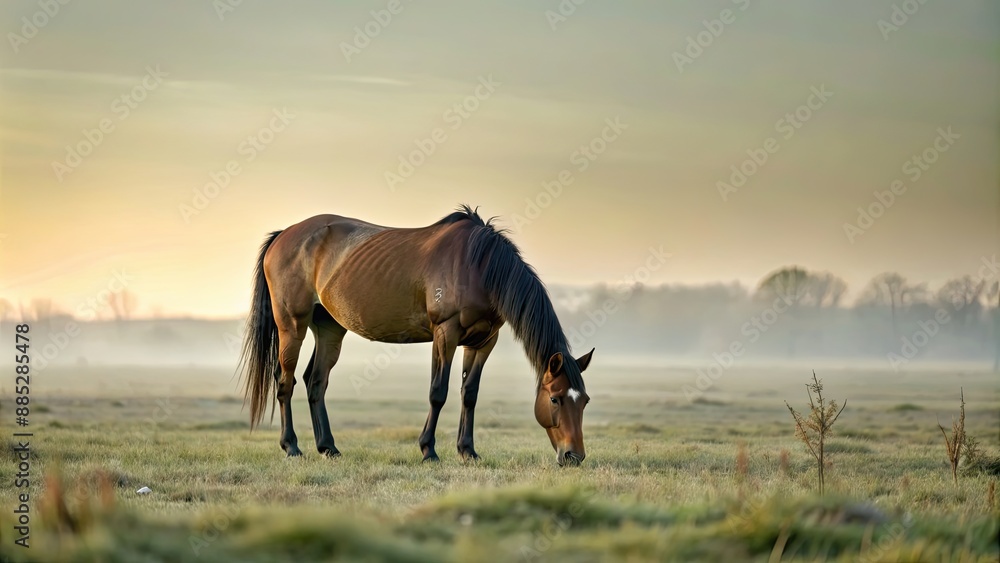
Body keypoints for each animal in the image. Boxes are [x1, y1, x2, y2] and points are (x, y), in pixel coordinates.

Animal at [237, 205, 595, 466]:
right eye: (555, 398)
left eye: (585, 401)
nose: (574, 456)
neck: (477, 266)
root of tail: (284, 235)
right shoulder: (446, 334)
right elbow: (438, 392)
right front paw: (428, 450)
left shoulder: (483, 342)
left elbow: (469, 394)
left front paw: (468, 451)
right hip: (292, 325)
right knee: (286, 382)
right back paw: (292, 447)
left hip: (329, 328)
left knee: (316, 382)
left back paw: (329, 448)